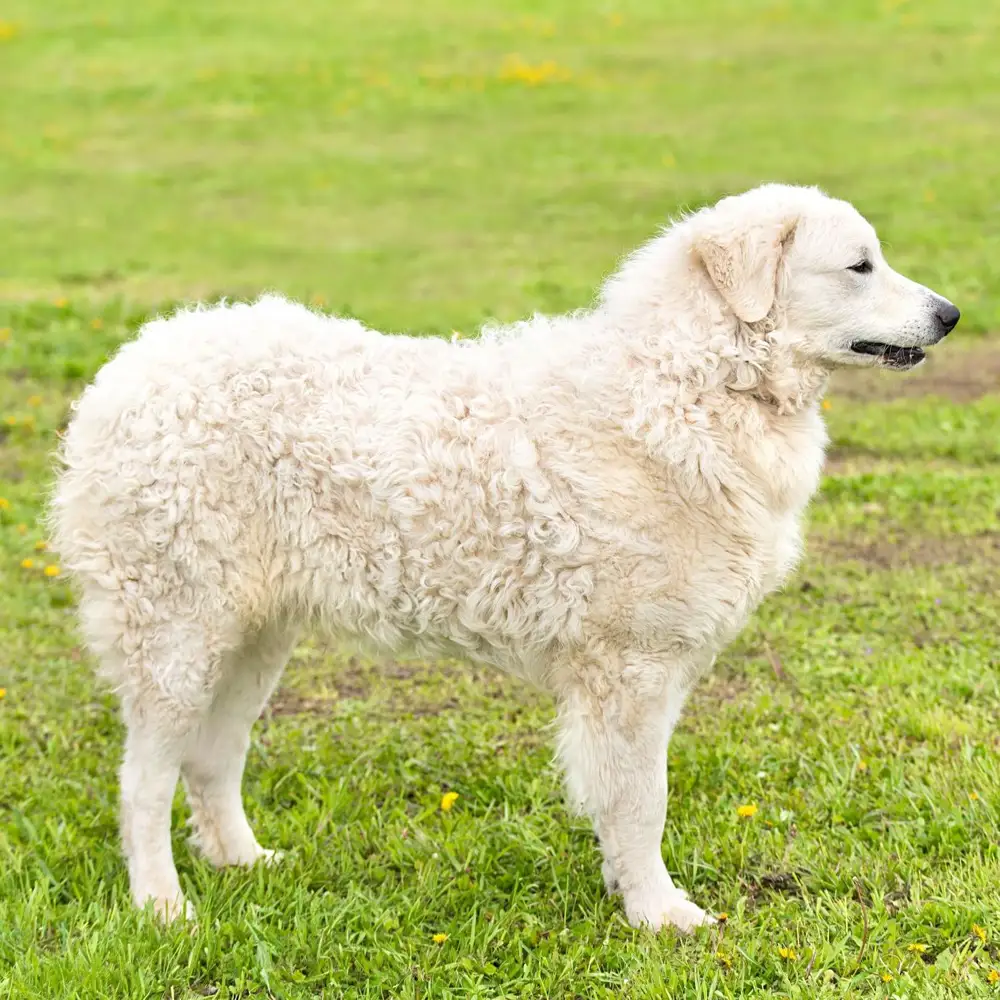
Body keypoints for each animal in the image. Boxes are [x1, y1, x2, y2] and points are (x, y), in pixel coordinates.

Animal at [52, 182, 960, 928]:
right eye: (859, 266)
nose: (951, 314)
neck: (694, 384)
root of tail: (133, 364)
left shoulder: (657, 668)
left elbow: (627, 799)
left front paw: (629, 893)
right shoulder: (630, 667)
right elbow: (644, 800)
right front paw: (659, 915)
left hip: (252, 637)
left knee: (212, 759)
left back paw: (245, 862)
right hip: (177, 635)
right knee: (144, 781)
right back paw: (162, 906)